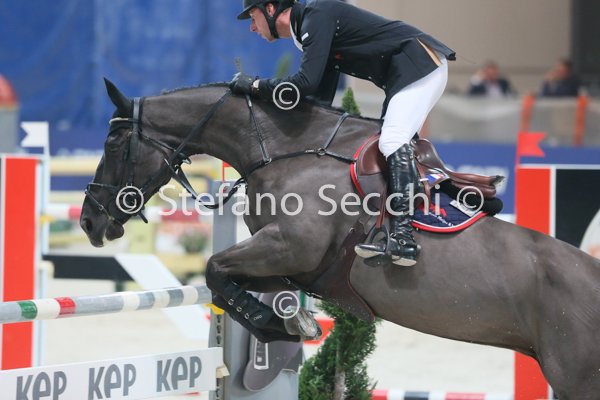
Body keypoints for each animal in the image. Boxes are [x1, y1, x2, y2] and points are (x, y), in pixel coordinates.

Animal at [80, 79, 600, 399]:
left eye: (112, 145)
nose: (88, 221)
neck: (288, 151)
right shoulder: (293, 264)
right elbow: (227, 282)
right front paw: (288, 320)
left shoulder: (288, 246)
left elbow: (214, 270)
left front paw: (279, 325)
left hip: (576, 377)